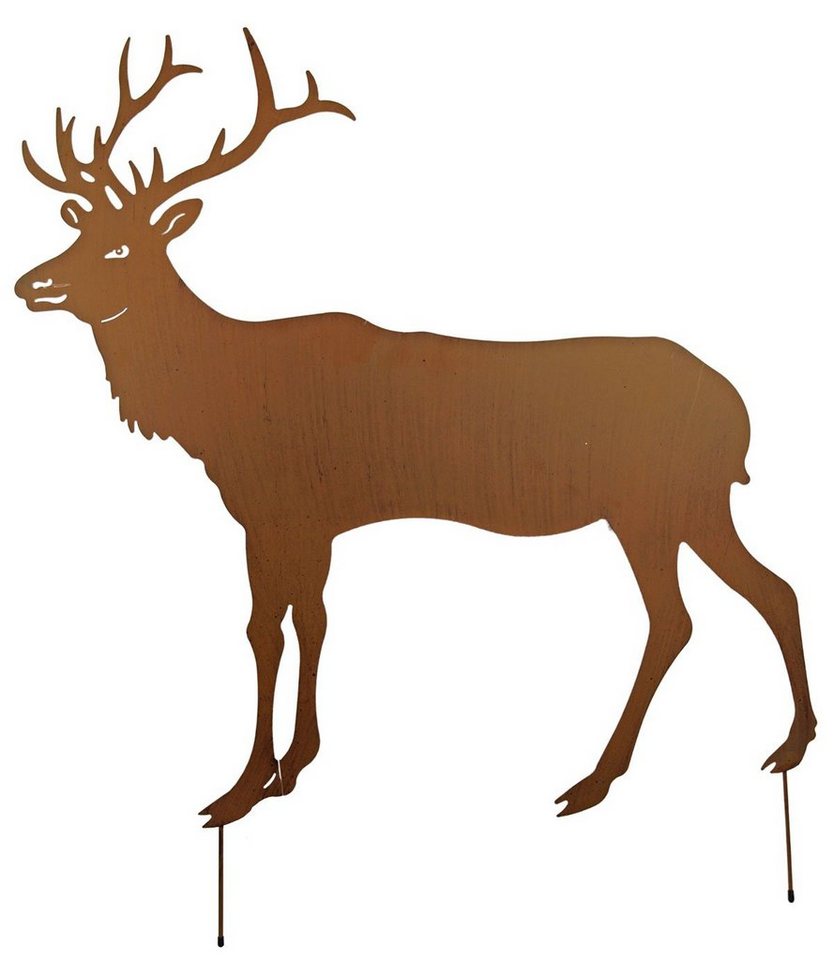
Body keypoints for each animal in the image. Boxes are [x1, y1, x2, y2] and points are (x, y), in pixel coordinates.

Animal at [14, 30, 816, 830]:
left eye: (122, 249)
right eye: (79, 234)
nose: (31, 284)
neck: (214, 407)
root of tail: (739, 416)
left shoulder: (276, 510)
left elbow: (266, 629)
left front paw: (242, 787)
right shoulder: (312, 522)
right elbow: (311, 620)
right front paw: (291, 767)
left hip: (649, 506)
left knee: (675, 618)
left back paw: (595, 777)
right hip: (693, 506)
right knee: (773, 589)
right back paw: (789, 743)